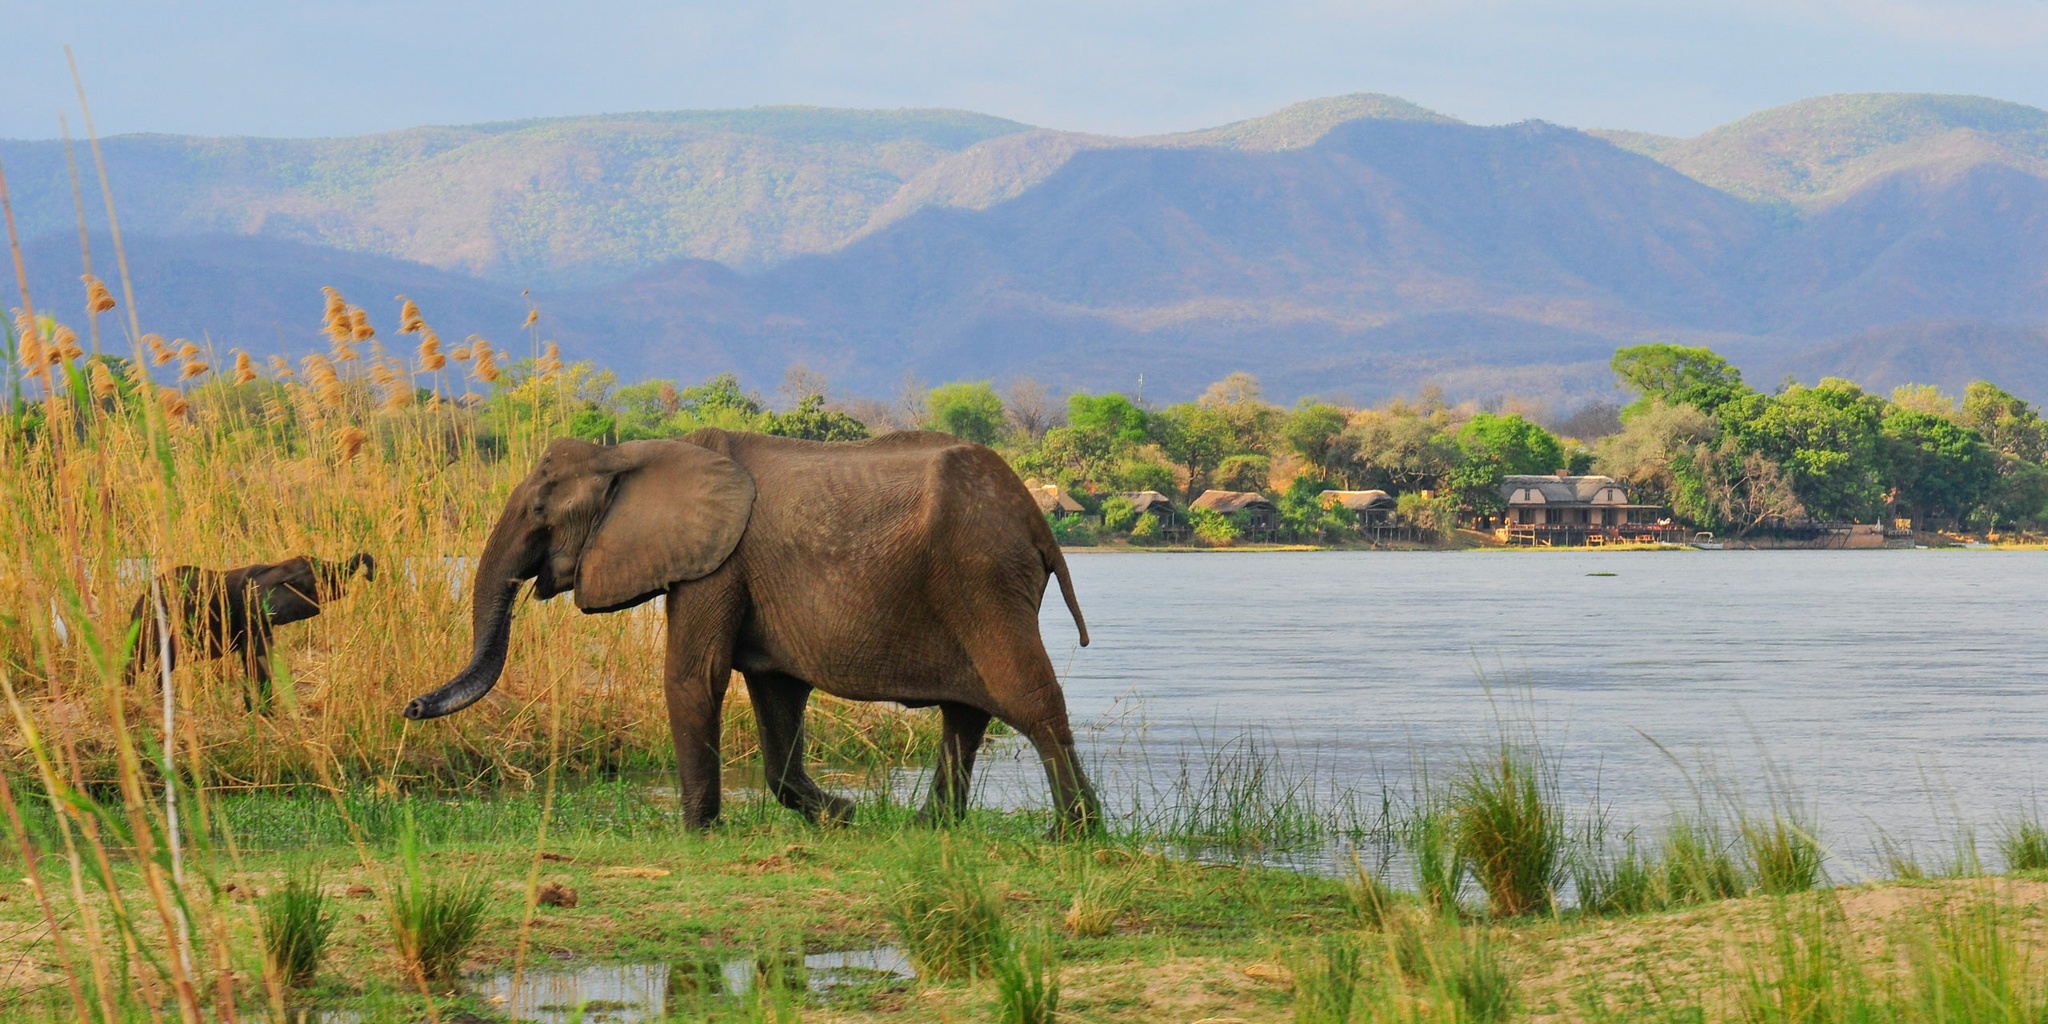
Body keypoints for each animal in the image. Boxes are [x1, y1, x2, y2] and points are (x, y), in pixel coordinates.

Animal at [128, 553, 375, 710]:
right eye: (322, 575)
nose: (368, 575)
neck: (276, 567)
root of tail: (140, 600)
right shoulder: (251, 609)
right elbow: (256, 656)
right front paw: (264, 713)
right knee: (162, 665)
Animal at [402, 430, 1100, 834]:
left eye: (541, 511)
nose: (410, 707)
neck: (628, 451)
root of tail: (1038, 518)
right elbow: (775, 692)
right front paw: (842, 817)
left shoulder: (717, 563)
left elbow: (695, 677)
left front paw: (695, 833)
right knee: (967, 712)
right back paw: (931, 829)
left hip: (982, 576)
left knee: (1029, 698)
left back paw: (1075, 833)